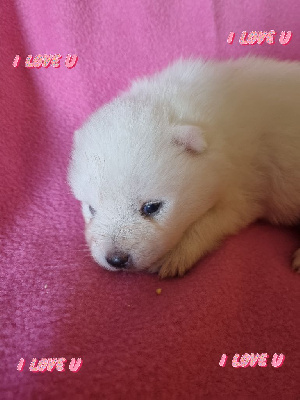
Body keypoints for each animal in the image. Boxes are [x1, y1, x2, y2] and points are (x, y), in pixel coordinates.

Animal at [69, 57, 300, 278]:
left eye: (151, 207)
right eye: (91, 208)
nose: (116, 259)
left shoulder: (244, 184)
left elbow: (212, 221)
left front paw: (175, 255)